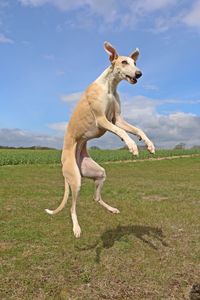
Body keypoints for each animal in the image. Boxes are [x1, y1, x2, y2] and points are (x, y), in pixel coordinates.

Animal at [46, 41, 155, 237]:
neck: (109, 87)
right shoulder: (102, 120)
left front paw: (148, 144)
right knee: (72, 207)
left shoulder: (117, 119)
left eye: (135, 63)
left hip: (98, 173)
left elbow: (137, 129)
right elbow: (122, 133)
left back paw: (111, 209)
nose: (139, 74)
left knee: (96, 198)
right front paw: (132, 146)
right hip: (76, 180)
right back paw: (76, 228)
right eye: (124, 62)